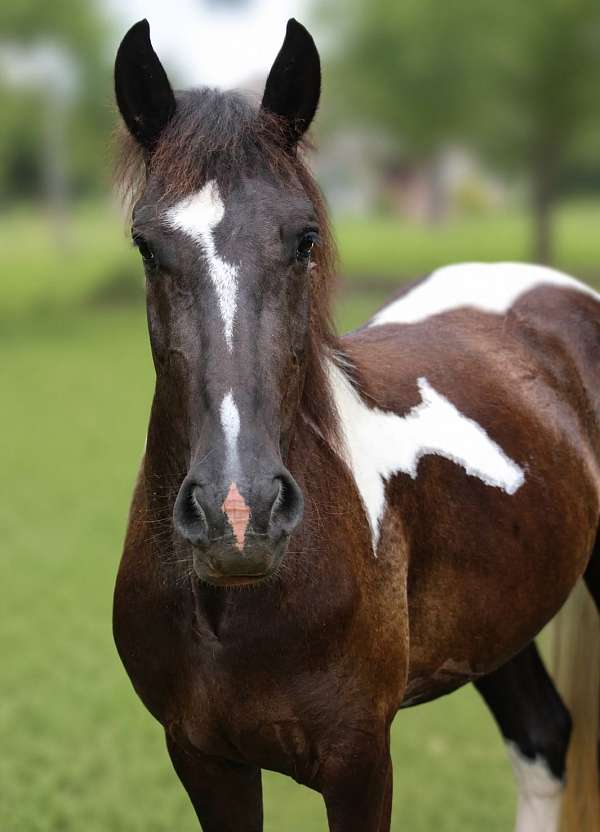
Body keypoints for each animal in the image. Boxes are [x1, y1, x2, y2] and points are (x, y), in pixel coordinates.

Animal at [113, 18, 600, 831]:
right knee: (542, 737)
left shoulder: (359, 761)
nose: (237, 516)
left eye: (305, 238)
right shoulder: (205, 761)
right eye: (148, 247)